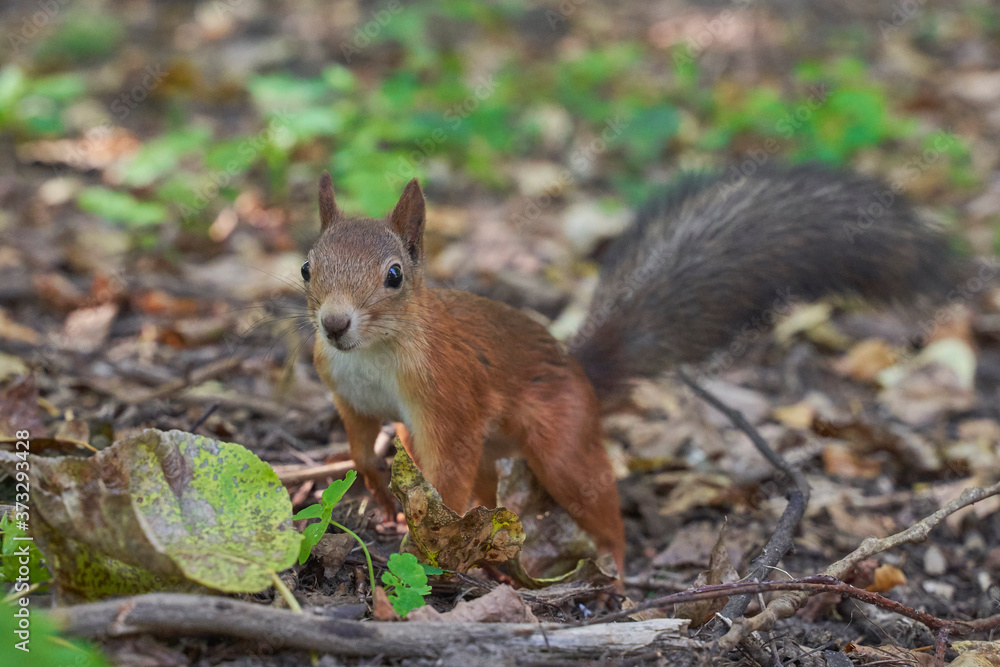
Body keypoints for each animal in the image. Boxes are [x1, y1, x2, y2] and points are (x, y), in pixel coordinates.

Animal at [306, 164, 960, 576]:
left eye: (394, 275)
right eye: (309, 265)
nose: (334, 325)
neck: (374, 354)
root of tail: (583, 377)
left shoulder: (450, 399)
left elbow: (446, 470)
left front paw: (423, 530)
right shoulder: (349, 394)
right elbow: (361, 446)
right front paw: (381, 495)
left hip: (562, 444)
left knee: (598, 503)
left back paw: (615, 574)